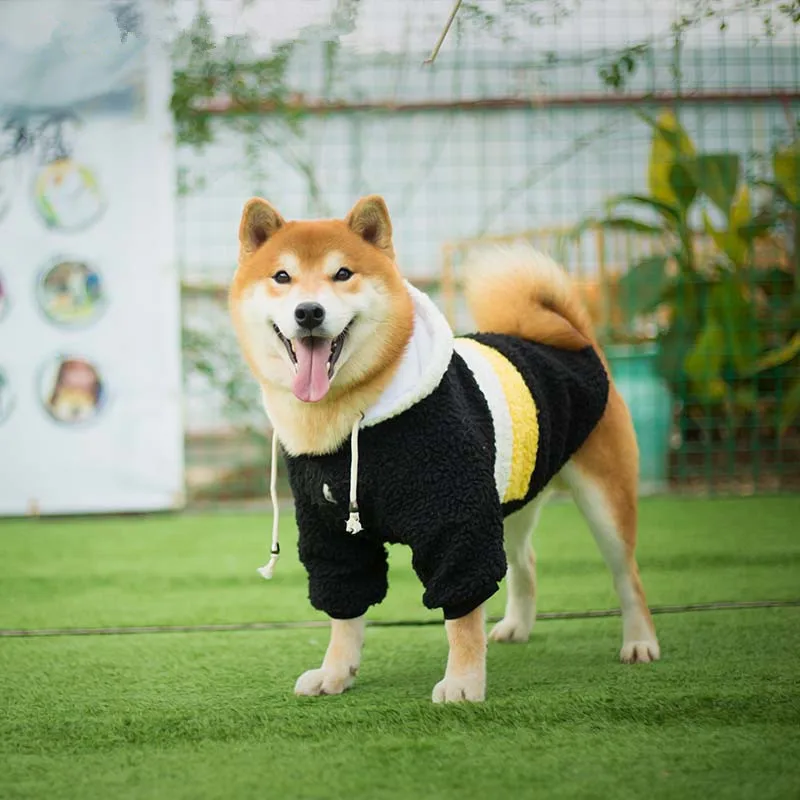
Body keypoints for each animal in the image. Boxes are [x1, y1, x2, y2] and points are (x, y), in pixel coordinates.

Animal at [228, 197, 660, 704]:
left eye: (342, 274)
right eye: (282, 277)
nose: (309, 312)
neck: (352, 420)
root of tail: (579, 338)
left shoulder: (455, 520)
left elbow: (462, 613)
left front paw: (463, 681)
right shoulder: (333, 531)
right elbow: (344, 612)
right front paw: (335, 672)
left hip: (601, 498)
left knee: (627, 575)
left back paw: (639, 642)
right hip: (512, 496)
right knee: (525, 563)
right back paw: (517, 627)